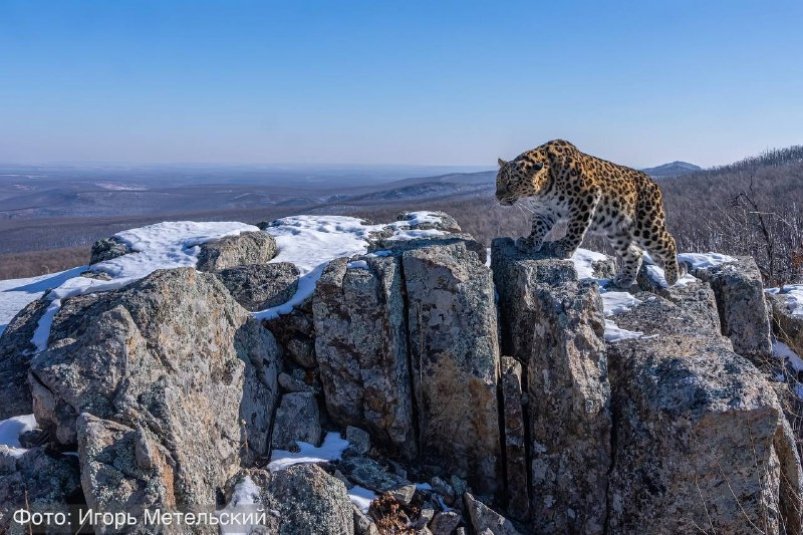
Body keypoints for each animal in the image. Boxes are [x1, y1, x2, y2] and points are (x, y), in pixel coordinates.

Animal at [500, 140, 680, 286]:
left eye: (510, 183)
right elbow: (538, 228)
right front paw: (530, 242)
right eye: (498, 181)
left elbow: (575, 227)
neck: (541, 190)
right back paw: (625, 279)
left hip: (646, 225)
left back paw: (672, 278)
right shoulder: (545, 211)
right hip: (617, 230)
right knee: (635, 253)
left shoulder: (587, 196)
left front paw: (564, 247)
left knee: (669, 241)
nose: (497, 197)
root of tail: (654, 184)